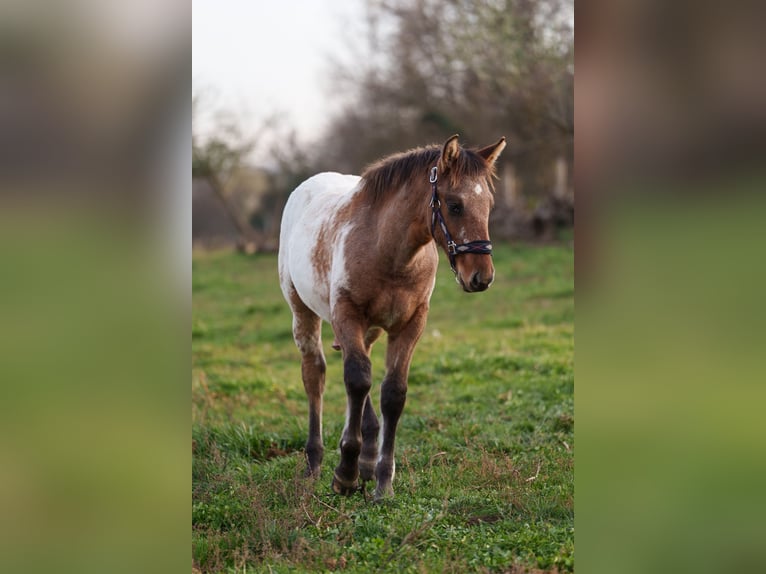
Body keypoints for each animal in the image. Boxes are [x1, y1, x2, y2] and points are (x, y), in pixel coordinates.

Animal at [280, 137, 508, 502]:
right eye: (454, 205)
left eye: (487, 203)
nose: (481, 277)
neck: (388, 252)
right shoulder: (347, 314)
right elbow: (357, 380)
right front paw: (344, 474)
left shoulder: (410, 324)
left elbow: (392, 393)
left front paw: (383, 480)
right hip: (303, 312)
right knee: (316, 374)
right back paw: (315, 464)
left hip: (370, 330)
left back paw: (368, 459)